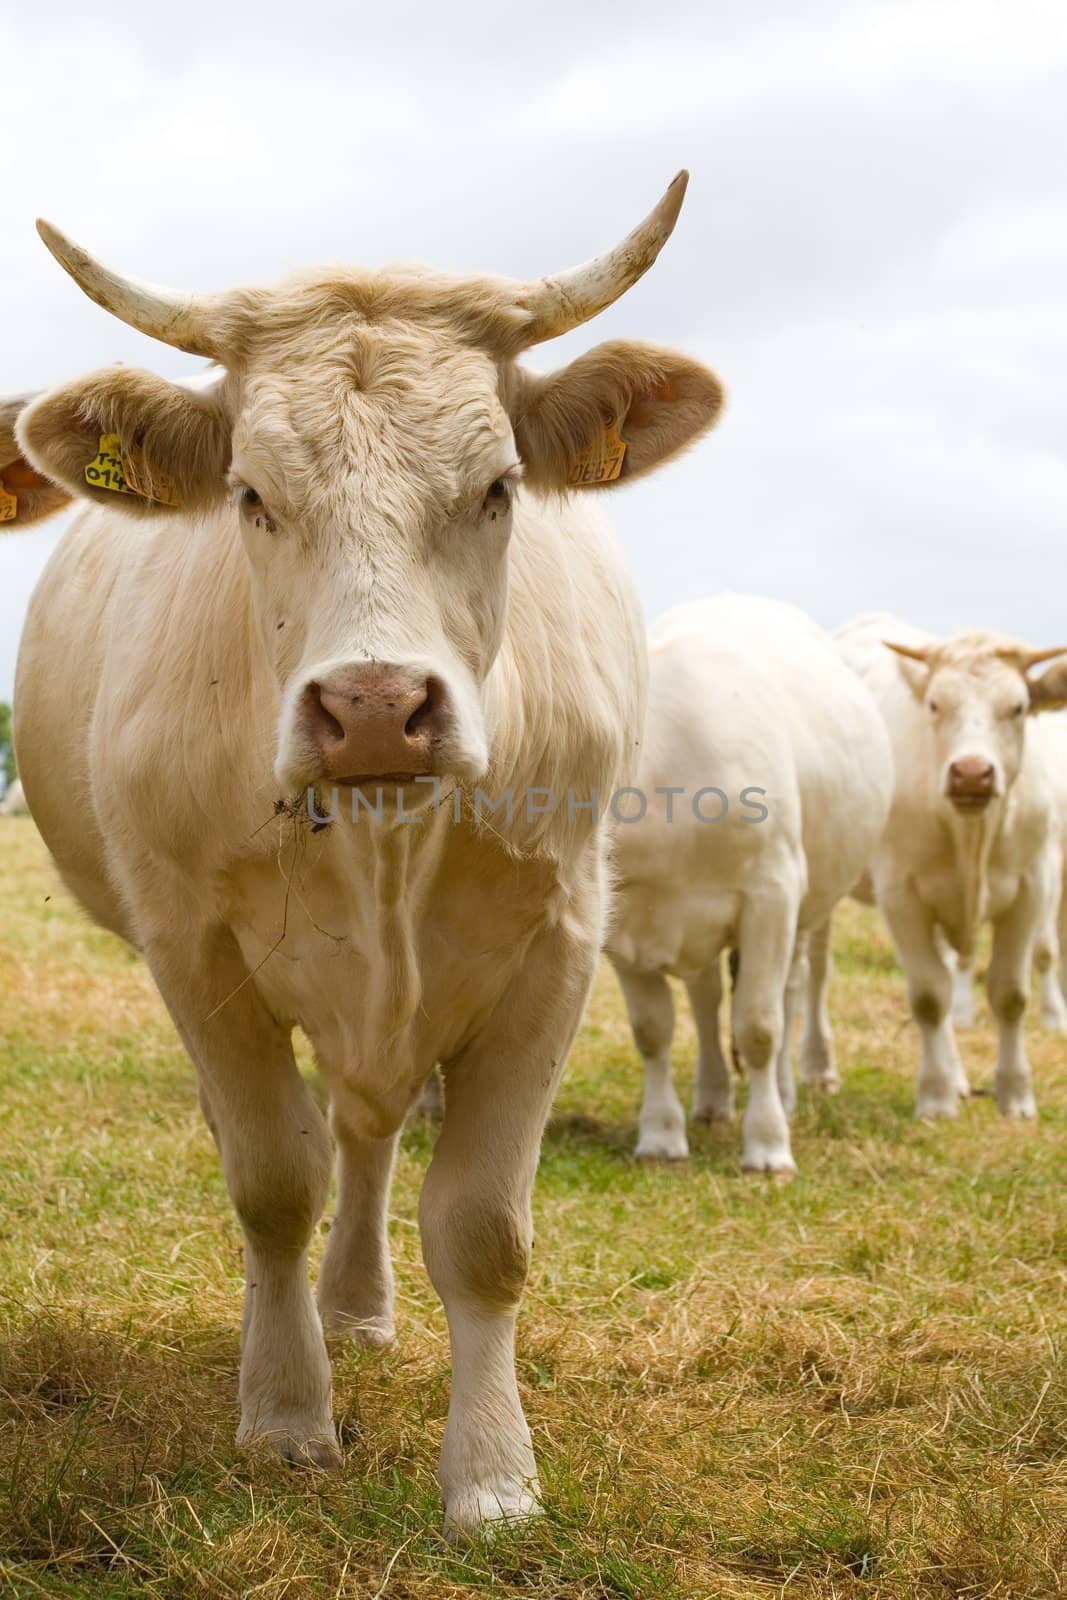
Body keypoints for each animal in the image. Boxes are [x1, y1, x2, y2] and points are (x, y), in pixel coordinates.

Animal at [8, 178, 726, 1536]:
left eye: (498, 486)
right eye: (249, 493)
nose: (378, 707)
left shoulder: (556, 941)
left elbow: (482, 1225)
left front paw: (492, 1472)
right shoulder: (192, 948)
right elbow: (270, 1183)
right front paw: (287, 1409)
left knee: (368, 1125)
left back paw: (357, 1303)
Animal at [831, 617, 1067, 1120]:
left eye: (1018, 707)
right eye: (935, 704)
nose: (972, 773)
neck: (971, 833)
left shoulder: (1032, 887)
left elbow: (1010, 993)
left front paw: (1015, 1095)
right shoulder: (900, 894)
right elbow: (928, 996)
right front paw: (936, 1095)